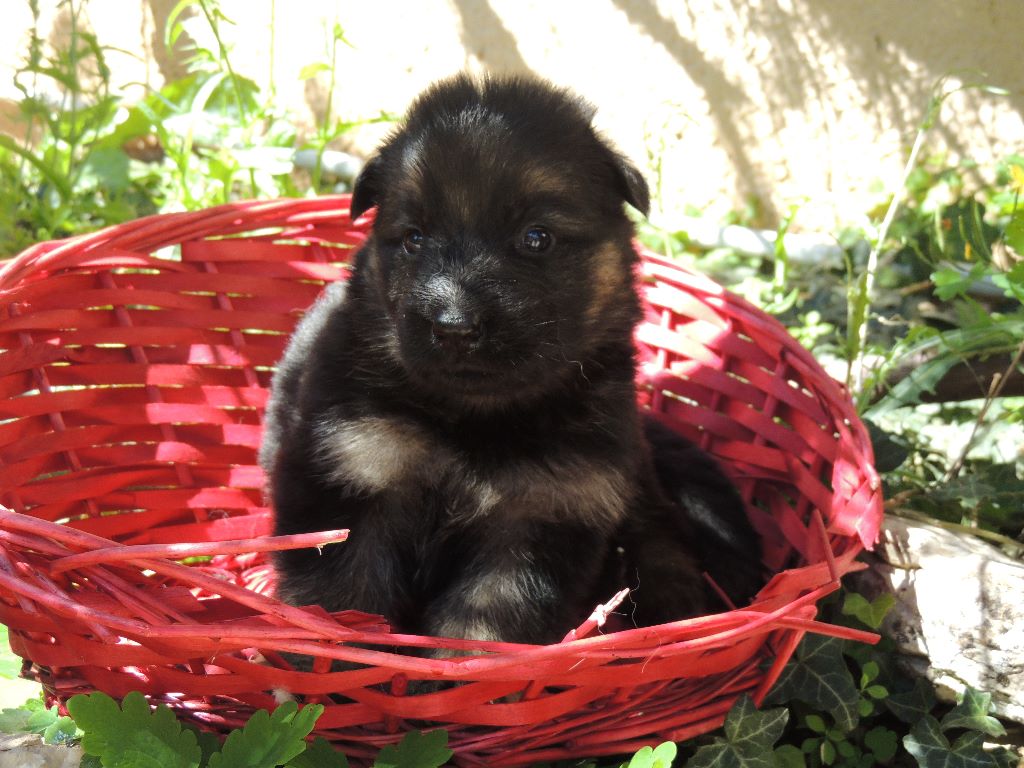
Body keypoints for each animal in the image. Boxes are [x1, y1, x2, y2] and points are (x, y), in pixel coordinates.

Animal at [260, 75, 765, 647]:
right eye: (414, 239)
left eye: (536, 238)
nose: (453, 326)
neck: (474, 419)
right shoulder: (352, 475)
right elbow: (344, 601)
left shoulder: (539, 519)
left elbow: (485, 625)